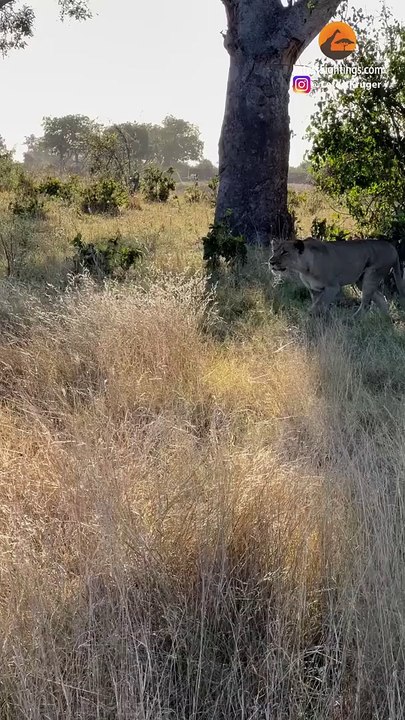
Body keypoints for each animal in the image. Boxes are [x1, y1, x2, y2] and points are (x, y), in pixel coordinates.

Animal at [269, 237, 405, 315]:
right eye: (274, 251)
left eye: (285, 252)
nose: (271, 262)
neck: (304, 269)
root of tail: (392, 247)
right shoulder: (314, 290)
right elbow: (318, 304)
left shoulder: (332, 287)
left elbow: (319, 305)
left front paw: (310, 316)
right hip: (361, 281)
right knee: (381, 298)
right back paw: (385, 321)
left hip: (371, 276)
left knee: (365, 304)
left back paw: (352, 320)